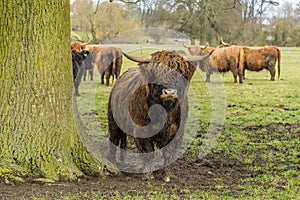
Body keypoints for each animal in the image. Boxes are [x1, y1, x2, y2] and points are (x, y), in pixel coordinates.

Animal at [107, 49, 211, 181]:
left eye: (180, 72)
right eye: (156, 73)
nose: (170, 92)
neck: (164, 111)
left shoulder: (176, 130)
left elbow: (168, 152)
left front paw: (166, 174)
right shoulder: (141, 129)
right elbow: (147, 150)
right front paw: (148, 174)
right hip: (113, 121)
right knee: (114, 139)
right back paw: (112, 165)